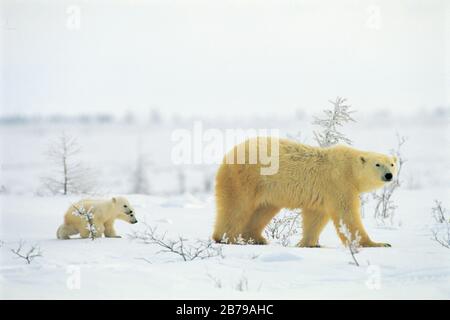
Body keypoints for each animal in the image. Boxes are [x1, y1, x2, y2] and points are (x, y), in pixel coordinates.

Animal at [212, 138, 398, 248]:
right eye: (377, 164)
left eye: (392, 164)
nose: (389, 175)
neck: (350, 168)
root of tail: (229, 153)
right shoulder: (339, 183)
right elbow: (347, 215)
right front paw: (378, 244)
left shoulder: (324, 193)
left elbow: (316, 217)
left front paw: (310, 243)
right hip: (246, 178)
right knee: (237, 207)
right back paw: (227, 238)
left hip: (267, 189)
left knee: (263, 210)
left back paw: (256, 238)